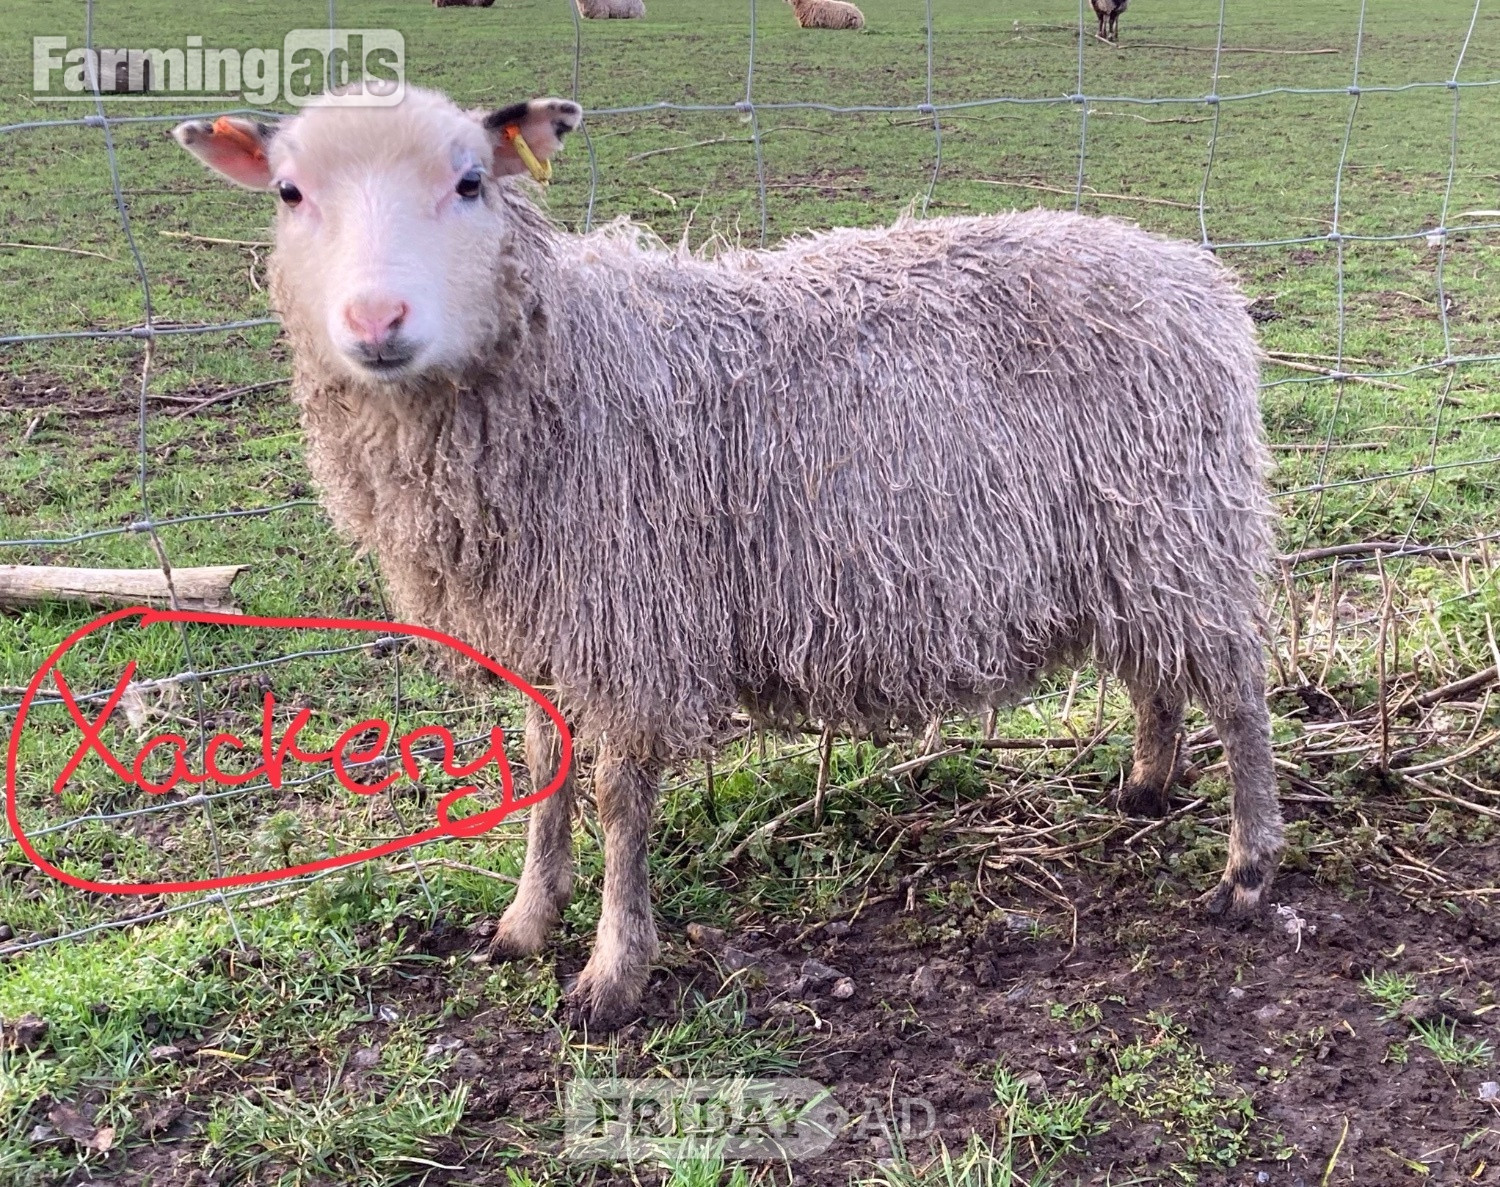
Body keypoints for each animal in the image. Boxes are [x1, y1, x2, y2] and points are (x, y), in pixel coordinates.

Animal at [173, 87, 1282, 1031]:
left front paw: (612, 973)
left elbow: (621, 800)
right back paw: (1145, 786)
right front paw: (526, 922)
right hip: (1132, 545)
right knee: (1154, 672)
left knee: (1236, 689)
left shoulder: (634, 620)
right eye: (290, 192)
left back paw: (1246, 868)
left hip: (1187, 526)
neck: (562, 367)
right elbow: (542, 767)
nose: (377, 321)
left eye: (471, 181)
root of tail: (1193, 275)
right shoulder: (545, 624)